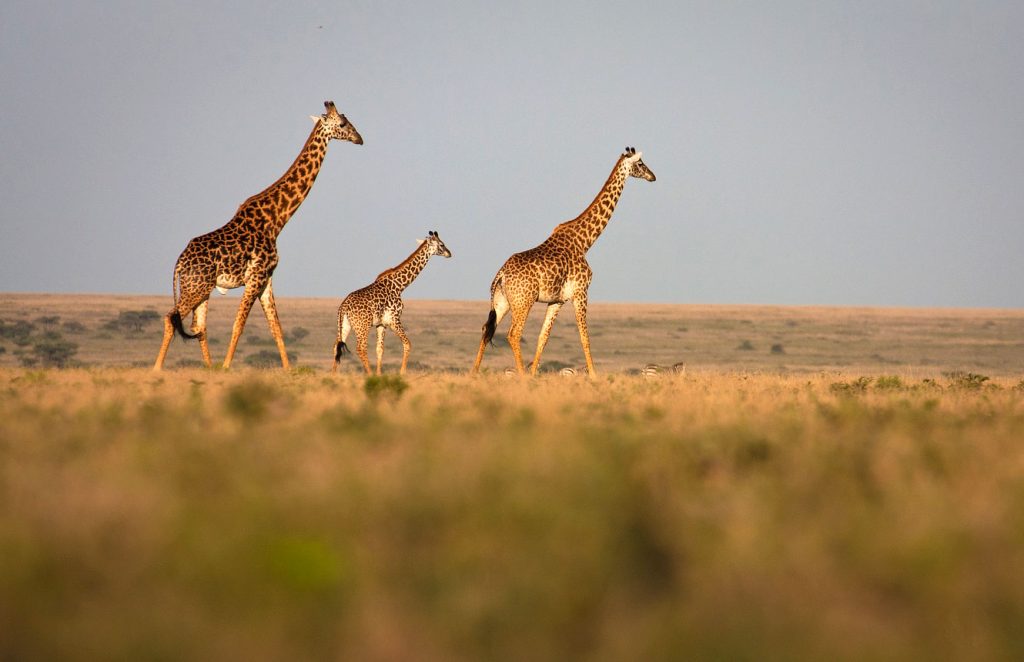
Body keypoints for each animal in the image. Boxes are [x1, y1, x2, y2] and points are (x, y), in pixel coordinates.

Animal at [153, 101, 363, 371]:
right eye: (343, 124)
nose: (360, 139)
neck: (276, 220)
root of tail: (179, 263)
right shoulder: (255, 276)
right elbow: (238, 325)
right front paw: (227, 367)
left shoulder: (266, 279)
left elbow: (276, 328)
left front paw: (288, 370)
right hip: (195, 287)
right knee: (172, 317)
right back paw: (158, 368)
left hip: (202, 288)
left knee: (198, 326)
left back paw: (208, 368)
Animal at [332, 230, 452, 375]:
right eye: (442, 244)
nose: (449, 253)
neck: (400, 285)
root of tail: (343, 307)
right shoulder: (394, 319)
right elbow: (407, 344)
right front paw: (402, 373)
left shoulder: (381, 324)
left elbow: (380, 350)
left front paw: (379, 375)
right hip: (362, 326)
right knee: (360, 348)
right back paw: (369, 374)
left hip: (345, 325)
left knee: (336, 346)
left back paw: (333, 375)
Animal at [471, 147, 656, 378]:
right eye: (640, 164)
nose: (653, 176)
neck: (585, 241)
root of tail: (501, 274)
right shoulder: (581, 292)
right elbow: (584, 337)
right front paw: (594, 376)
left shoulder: (557, 300)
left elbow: (543, 337)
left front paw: (534, 374)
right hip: (524, 301)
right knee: (513, 334)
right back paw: (520, 376)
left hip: (502, 301)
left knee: (486, 330)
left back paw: (474, 373)